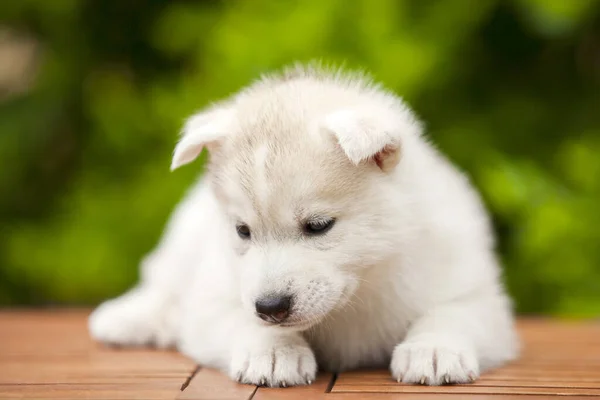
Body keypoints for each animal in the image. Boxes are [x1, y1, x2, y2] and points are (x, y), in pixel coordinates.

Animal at [88, 65, 516, 388]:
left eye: (319, 226)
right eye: (243, 231)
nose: (271, 307)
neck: (364, 288)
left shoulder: (478, 296)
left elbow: (452, 313)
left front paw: (433, 349)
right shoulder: (213, 300)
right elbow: (239, 317)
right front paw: (274, 350)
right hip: (183, 242)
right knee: (161, 284)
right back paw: (125, 318)